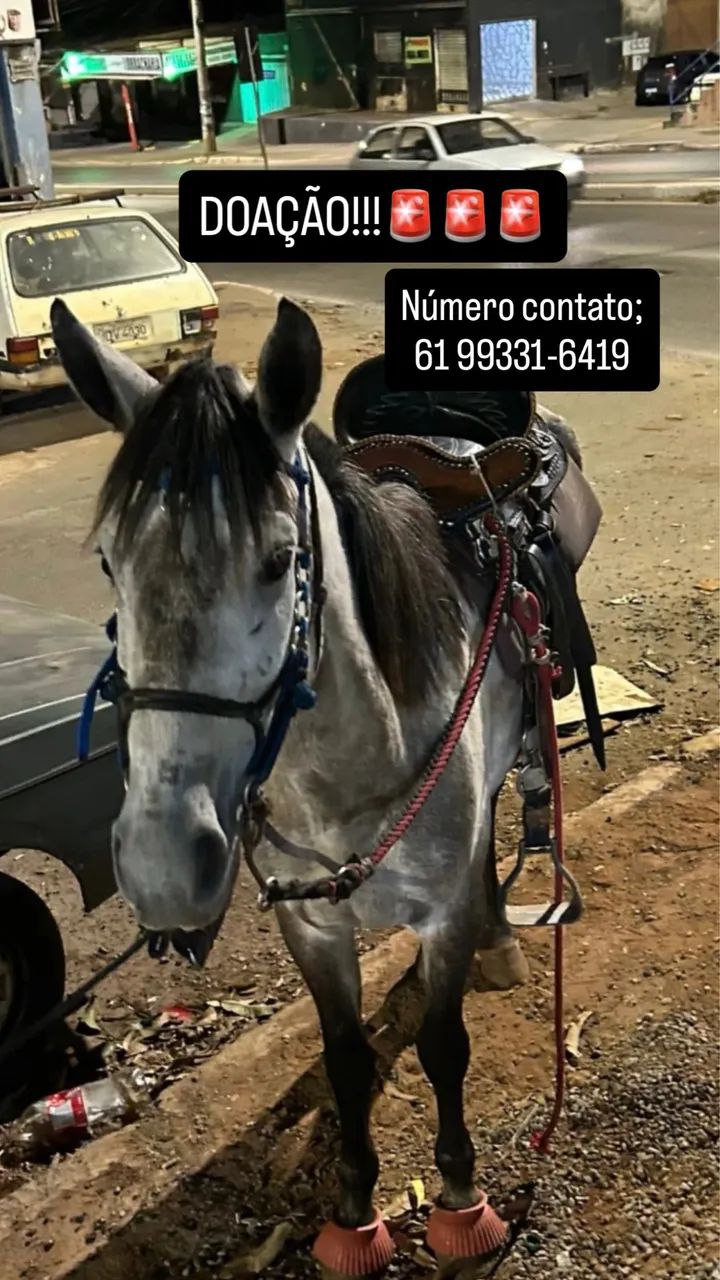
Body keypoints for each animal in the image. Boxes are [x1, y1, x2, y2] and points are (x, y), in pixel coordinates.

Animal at [52, 294, 559, 1271]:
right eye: (106, 563)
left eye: (281, 559)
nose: (164, 863)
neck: (342, 782)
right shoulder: (310, 926)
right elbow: (346, 1057)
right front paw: (356, 1209)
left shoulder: (438, 918)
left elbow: (443, 1046)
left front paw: (459, 1200)